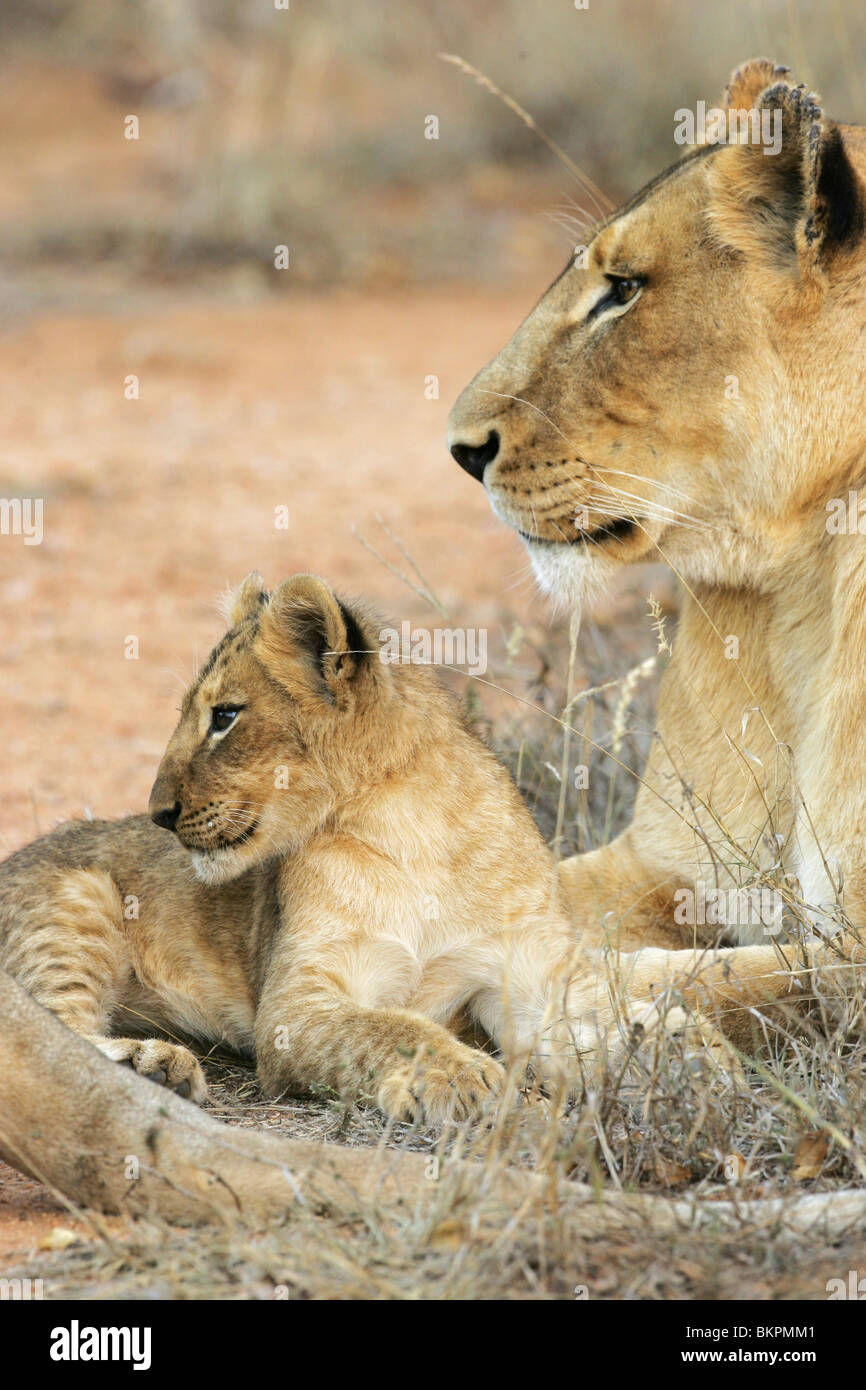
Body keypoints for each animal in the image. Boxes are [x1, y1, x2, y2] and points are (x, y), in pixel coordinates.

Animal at [448, 58, 866, 958]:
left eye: (623, 290)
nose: (461, 450)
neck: (799, 591)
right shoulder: (663, 865)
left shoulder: (848, 957)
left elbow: (665, 982)